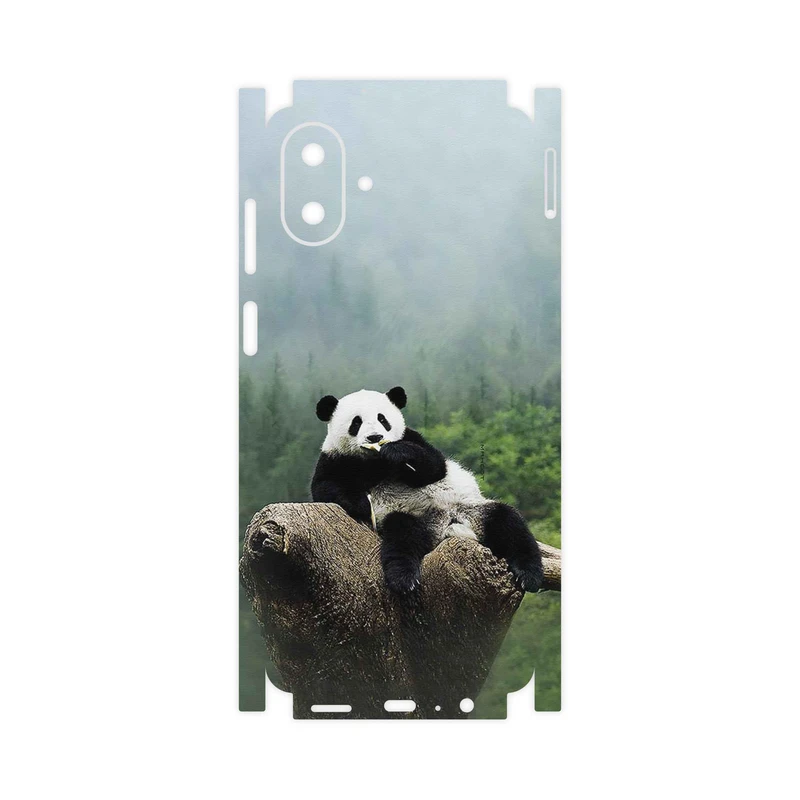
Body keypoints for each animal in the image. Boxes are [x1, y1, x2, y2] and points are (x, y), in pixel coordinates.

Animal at [311, 386, 544, 595]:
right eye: (356, 422)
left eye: (382, 419)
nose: (375, 438)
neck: (374, 461)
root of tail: (447, 524)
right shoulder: (335, 458)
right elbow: (325, 488)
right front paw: (361, 503)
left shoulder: (412, 438)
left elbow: (435, 466)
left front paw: (397, 452)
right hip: (414, 518)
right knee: (402, 536)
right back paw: (404, 579)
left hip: (472, 509)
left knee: (508, 523)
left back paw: (529, 575)